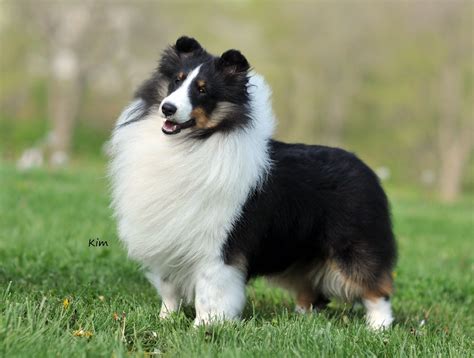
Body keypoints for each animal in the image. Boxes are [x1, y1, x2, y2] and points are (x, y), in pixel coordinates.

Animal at [107, 36, 396, 330]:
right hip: (301, 252)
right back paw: (301, 319)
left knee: (376, 288)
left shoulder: (217, 247)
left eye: (203, 90)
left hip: (352, 248)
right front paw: (165, 319)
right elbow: (169, 288)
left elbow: (208, 292)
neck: (192, 142)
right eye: (177, 80)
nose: (167, 108)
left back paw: (379, 327)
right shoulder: (167, 239)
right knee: (310, 291)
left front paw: (203, 327)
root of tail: (366, 169)